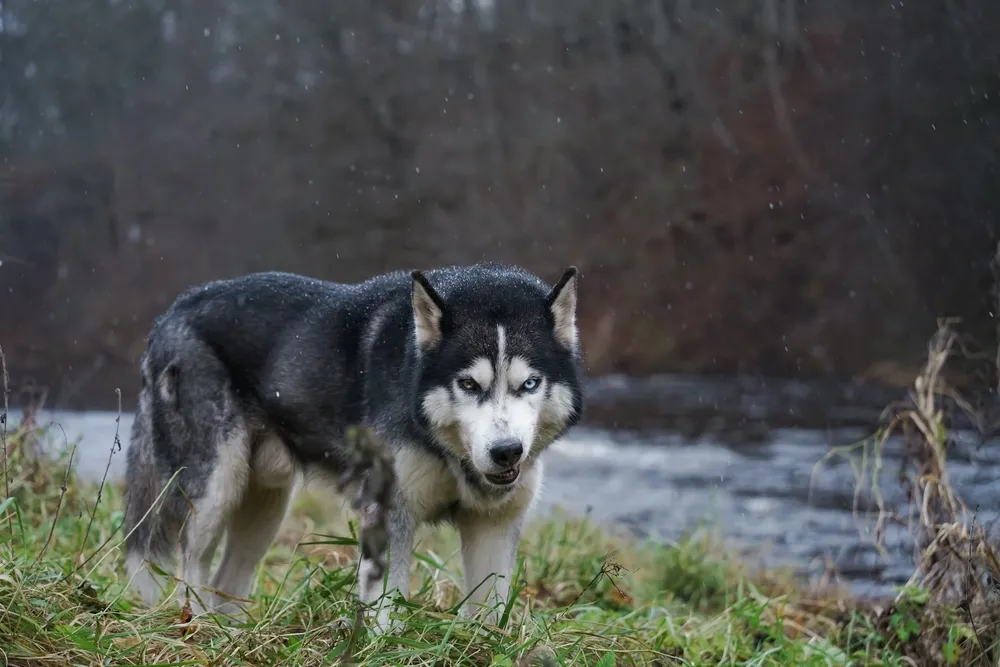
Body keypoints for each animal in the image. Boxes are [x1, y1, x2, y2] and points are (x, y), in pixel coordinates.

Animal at [121, 262, 584, 632]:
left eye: (530, 384)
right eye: (469, 384)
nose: (507, 451)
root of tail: (173, 311)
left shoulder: (494, 525)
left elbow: (490, 611)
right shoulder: (389, 515)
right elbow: (386, 606)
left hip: (266, 506)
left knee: (226, 582)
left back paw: (233, 636)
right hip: (215, 493)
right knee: (191, 563)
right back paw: (197, 631)